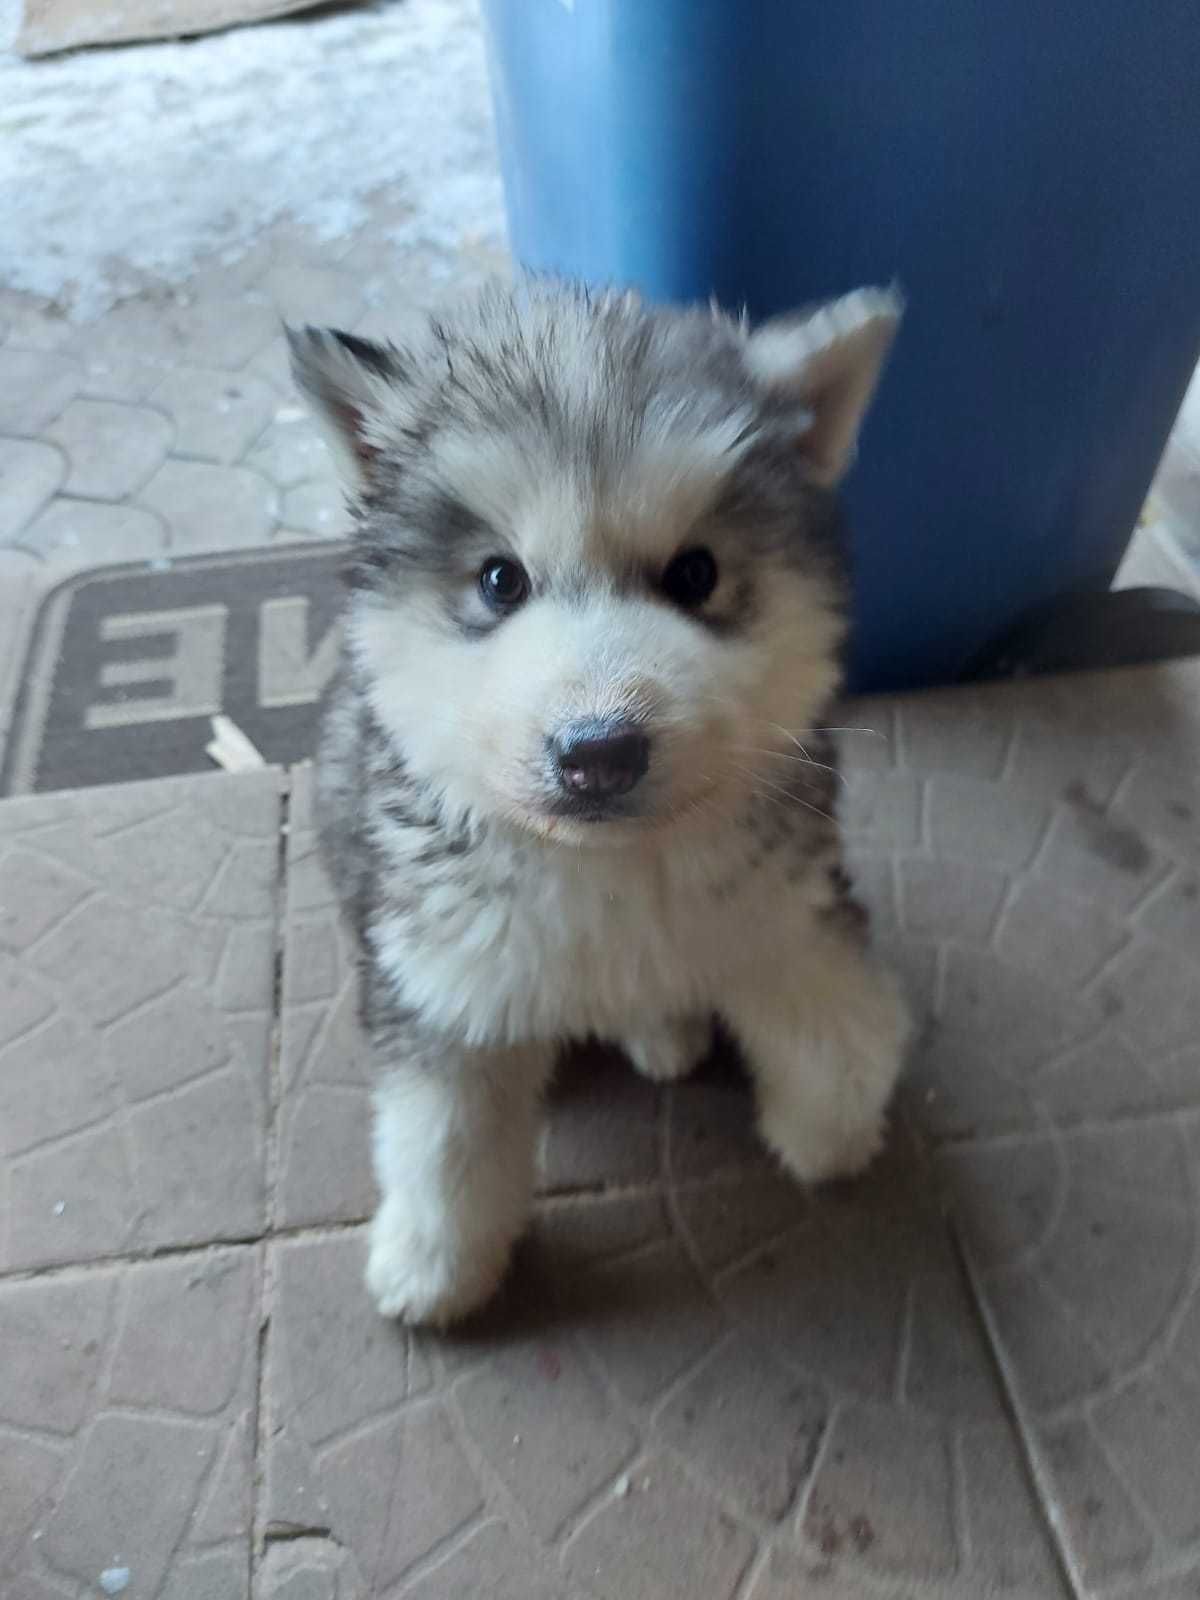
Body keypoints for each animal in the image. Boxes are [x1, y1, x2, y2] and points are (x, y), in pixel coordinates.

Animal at [291, 284, 908, 1324]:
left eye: (696, 574)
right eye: (500, 580)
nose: (599, 754)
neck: (610, 866)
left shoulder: (787, 909)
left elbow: (843, 1043)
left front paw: (830, 1138)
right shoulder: (441, 980)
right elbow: (444, 1142)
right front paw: (435, 1263)